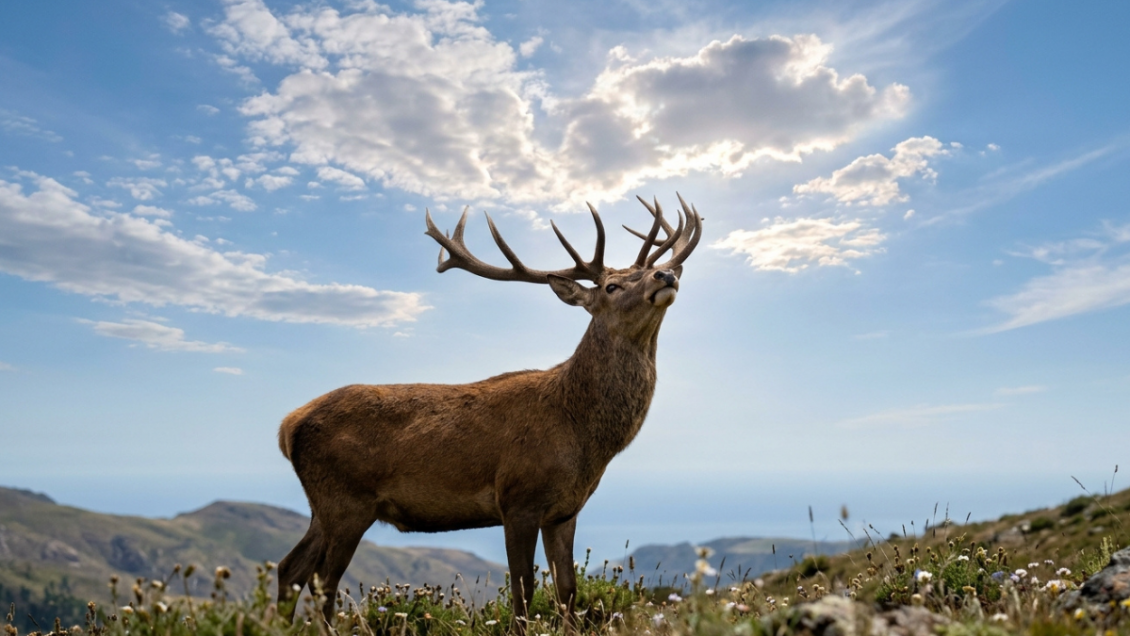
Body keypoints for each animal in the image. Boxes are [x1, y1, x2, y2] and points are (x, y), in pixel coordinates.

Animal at [275, 194, 702, 629]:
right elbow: (523, 592)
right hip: (347, 501)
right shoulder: (517, 498)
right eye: (612, 286)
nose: (665, 274)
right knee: (322, 583)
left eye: (645, 271)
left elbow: (567, 590)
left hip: (322, 505)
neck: (582, 435)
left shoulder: (564, 511)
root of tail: (288, 426)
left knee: (290, 568)